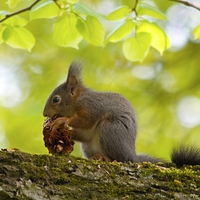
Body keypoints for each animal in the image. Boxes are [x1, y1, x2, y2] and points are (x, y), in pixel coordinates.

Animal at [43, 61, 200, 166]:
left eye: (56, 99)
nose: (45, 114)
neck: (78, 100)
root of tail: (131, 155)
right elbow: (85, 134)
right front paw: (65, 132)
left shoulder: (92, 107)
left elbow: (86, 120)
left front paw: (63, 121)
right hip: (89, 146)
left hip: (110, 129)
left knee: (121, 159)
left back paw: (107, 158)